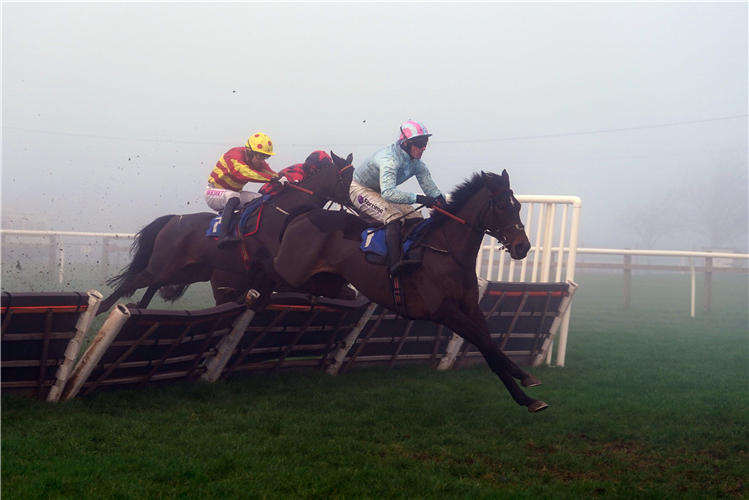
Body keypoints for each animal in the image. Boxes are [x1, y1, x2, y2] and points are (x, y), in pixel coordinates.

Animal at [99, 153, 354, 316]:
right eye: (346, 178)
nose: (354, 204)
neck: (286, 211)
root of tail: (173, 219)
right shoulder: (278, 264)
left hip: (184, 270)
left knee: (154, 283)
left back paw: (138, 305)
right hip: (163, 264)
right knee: (135, 280)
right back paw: (104, 307)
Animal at [254, 170, 548, 412]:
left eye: (518, 206)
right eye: (501, 206)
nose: (522, 247)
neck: (447, 251)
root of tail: (304, 214)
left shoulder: (470, 308)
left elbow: (489, 345)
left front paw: (526, 396)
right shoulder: (444, 311)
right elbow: (486, 343)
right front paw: (526, 377)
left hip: (326, 280)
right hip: (293, 269)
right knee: (268, 265)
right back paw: (253, 290)